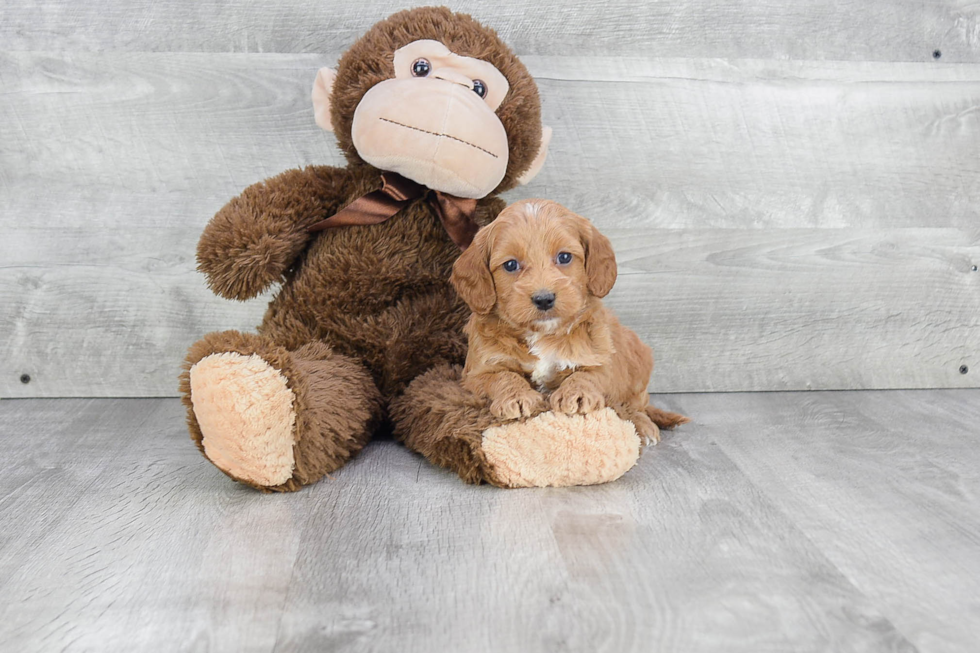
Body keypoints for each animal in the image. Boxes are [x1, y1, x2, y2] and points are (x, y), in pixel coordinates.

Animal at [448, 199, 684, 444]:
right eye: (511, 265)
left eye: (564, 257)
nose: (544, 299)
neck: (541, 333)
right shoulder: (475, 374)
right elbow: (502, 376)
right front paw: (517, 396)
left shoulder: (601, 359)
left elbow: (588, 374)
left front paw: (576, 393)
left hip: (637, 360)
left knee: (635, 404)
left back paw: (643, 425)